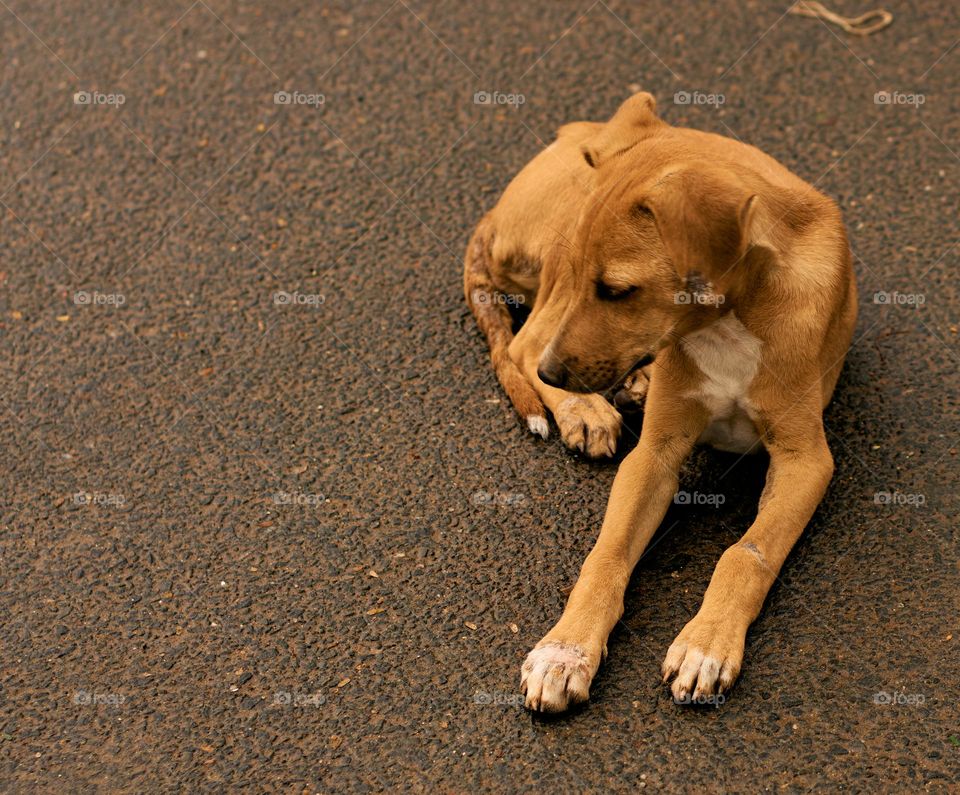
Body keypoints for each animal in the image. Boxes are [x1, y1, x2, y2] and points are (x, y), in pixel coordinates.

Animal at [464, 95, 856, 716]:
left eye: (618, 291)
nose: (556, 376)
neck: (728, 322)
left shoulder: (806, 459)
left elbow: (745, 554)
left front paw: (706, 645)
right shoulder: (654, 452)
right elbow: (605, 555)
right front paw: (564, 651)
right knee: (526, 345)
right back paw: (583, 409)